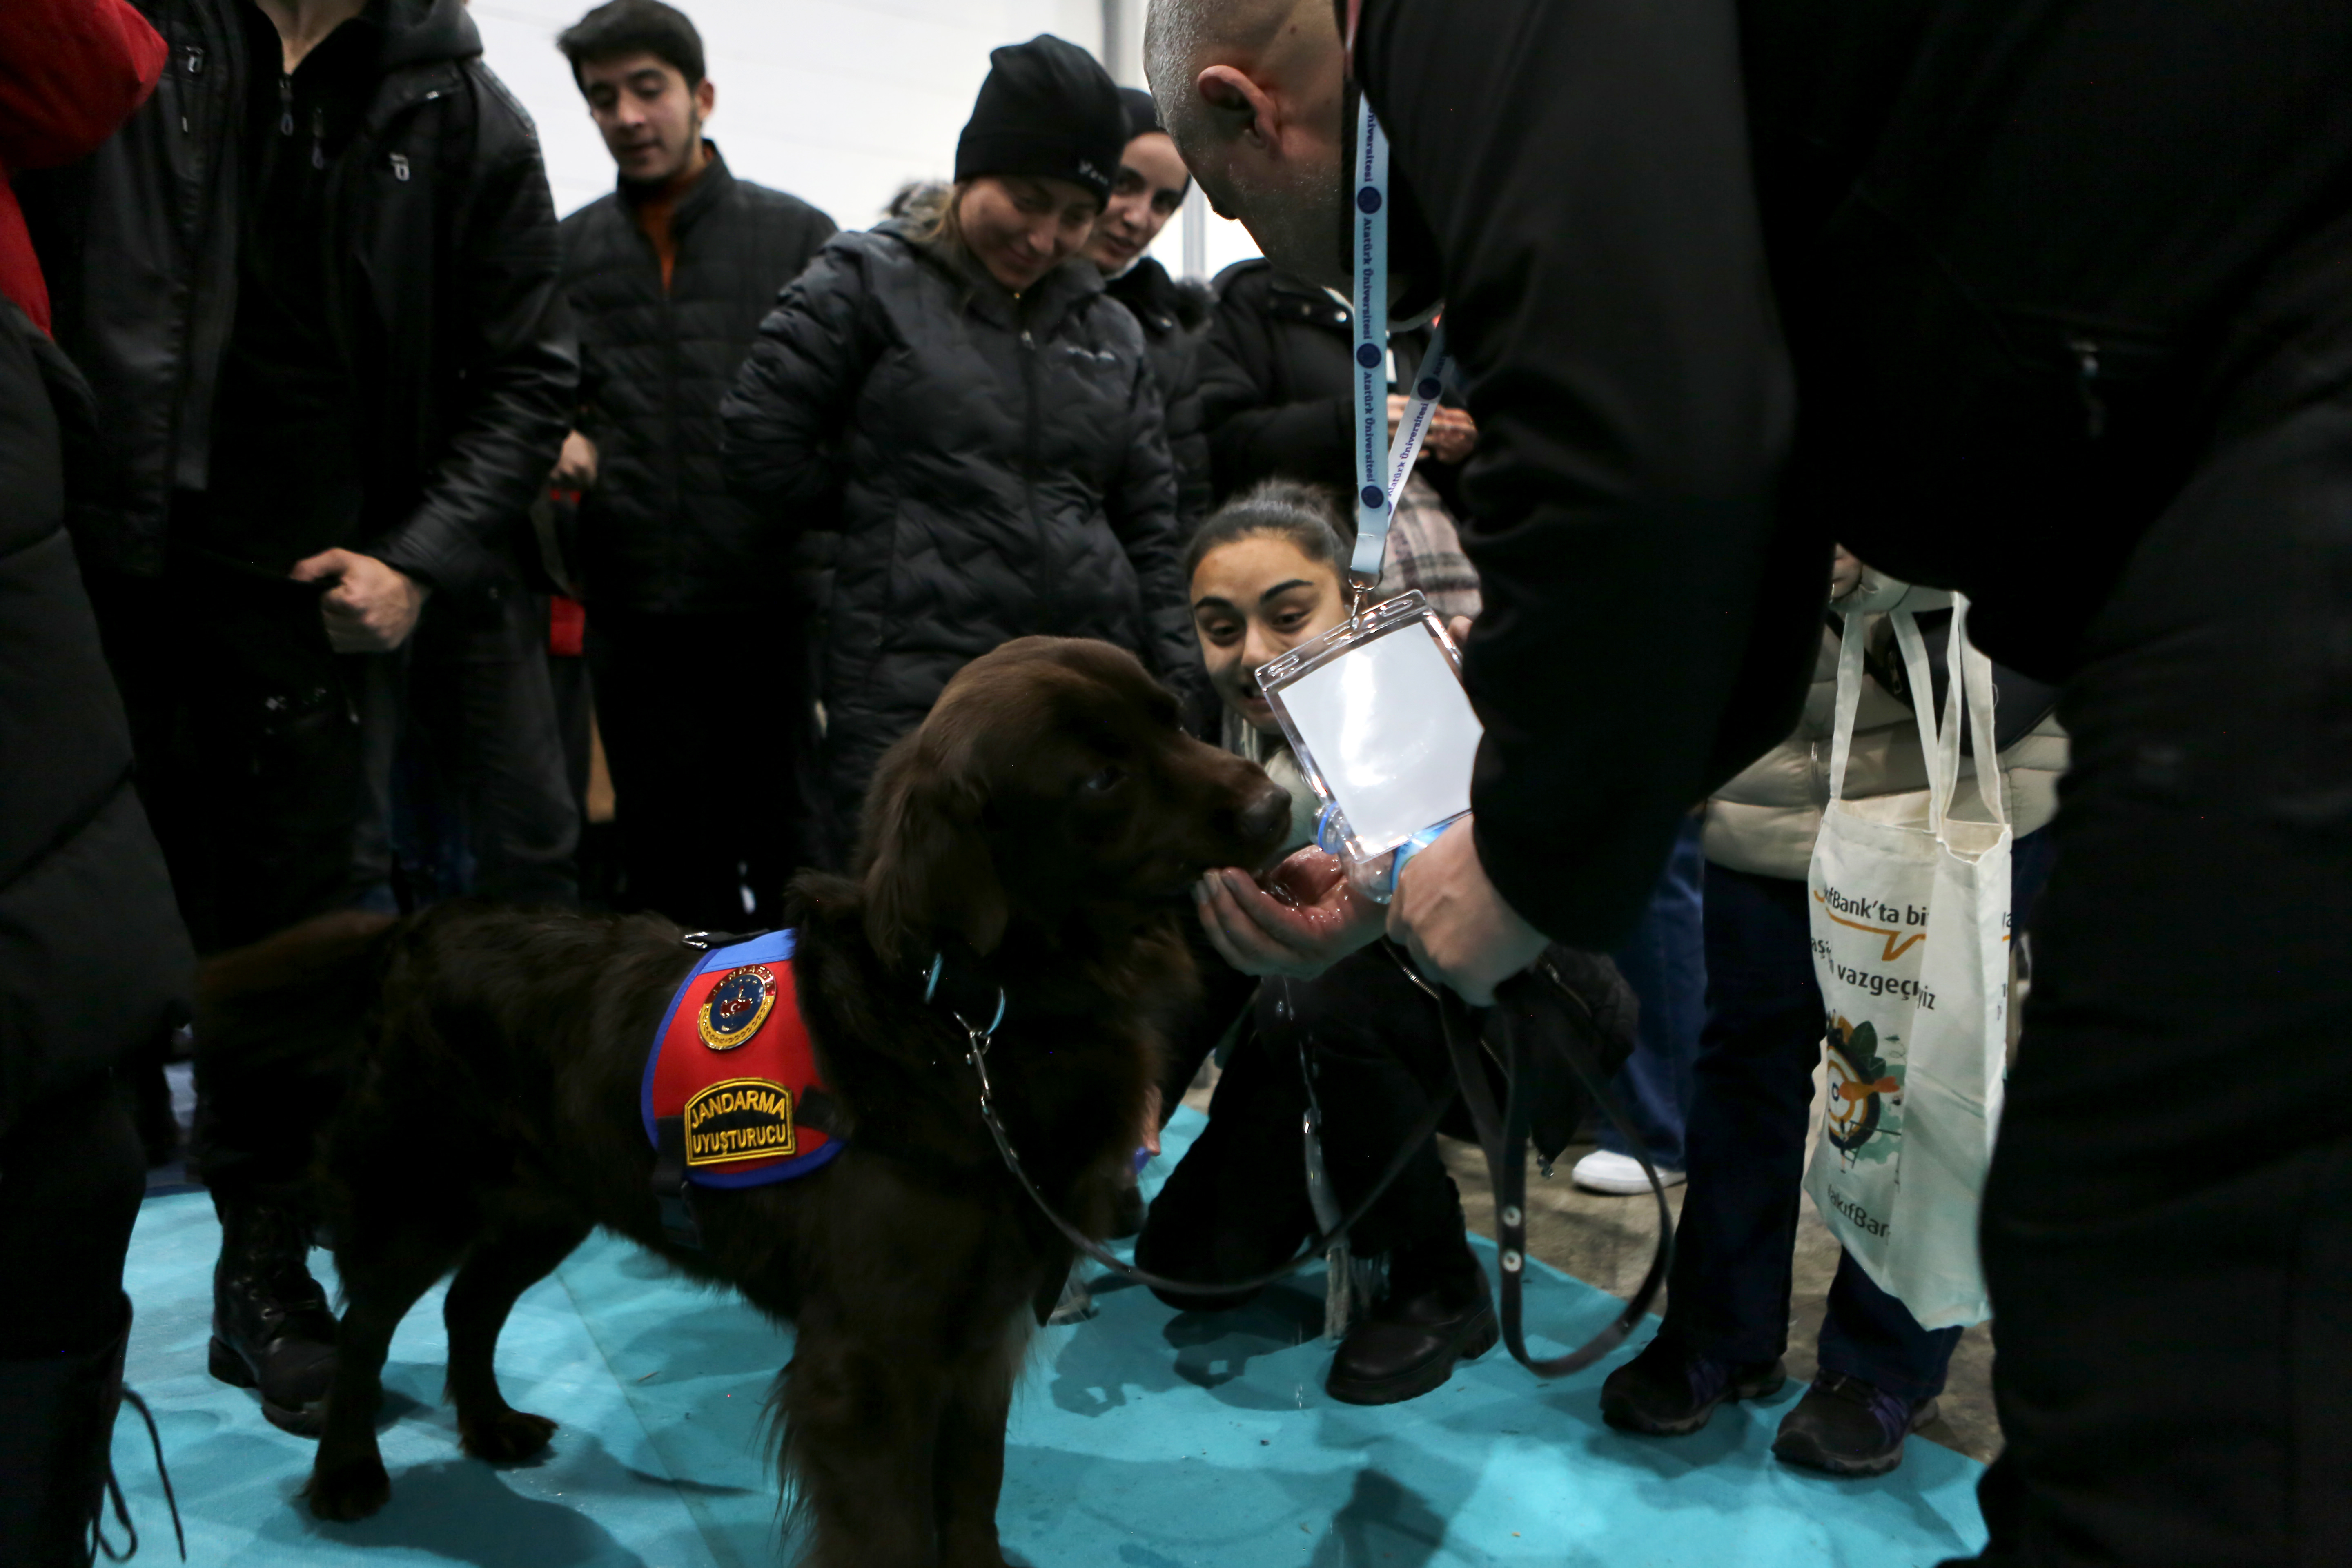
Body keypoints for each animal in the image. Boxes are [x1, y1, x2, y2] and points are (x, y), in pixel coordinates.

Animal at [199, 637, 1290, 1566]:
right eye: (1101, 779)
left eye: (1173, 719)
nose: (1275, 809)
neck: (965, 1018)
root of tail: (419, 924)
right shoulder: (866, 1364)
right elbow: (892, 1530)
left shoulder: (981, 1334)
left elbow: (970, 1496)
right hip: (417, 1199)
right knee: (368, 1331)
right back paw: (346, 1473)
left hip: (551, 1203)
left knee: (471, 1305)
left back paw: (493, 1425)